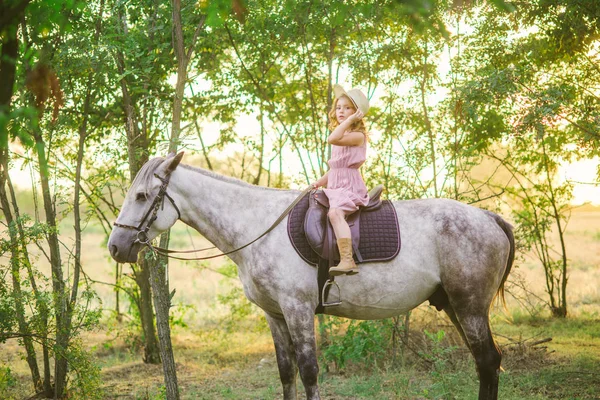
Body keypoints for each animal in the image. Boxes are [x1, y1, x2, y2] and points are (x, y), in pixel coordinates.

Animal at [109, 153, 516, 400]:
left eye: (142, 196)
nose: (116, 247)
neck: (258, 227)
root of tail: (490, 217)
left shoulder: (298, 310)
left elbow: (308, 372)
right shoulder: (275, 315)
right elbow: (287, 372)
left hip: (470, 307)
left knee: (488, 361)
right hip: (455, 306)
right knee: (486, 363)